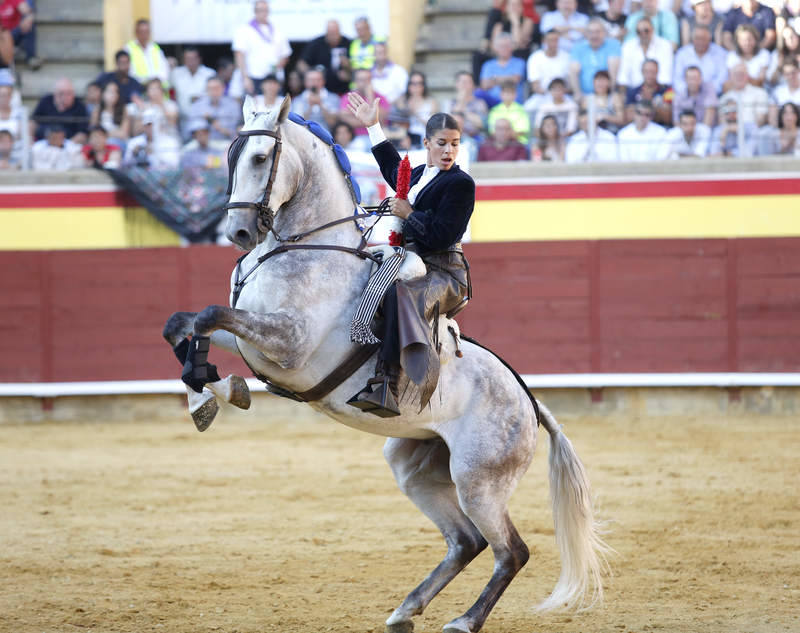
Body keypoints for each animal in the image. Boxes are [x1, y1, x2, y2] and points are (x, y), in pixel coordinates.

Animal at [164, 95, 612, 632]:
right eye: (231, 158)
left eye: (259, 158)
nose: (238, 231)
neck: (305, 248)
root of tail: (529, 403)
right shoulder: (252, 336)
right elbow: (184, 323)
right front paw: (207, 394)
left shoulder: (288, 343)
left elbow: (208, 315)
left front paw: (218, 389)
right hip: (414, 467)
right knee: (466, 541)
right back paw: (405, 610)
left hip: (479, 479)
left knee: (511, 550)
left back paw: (463, 621)